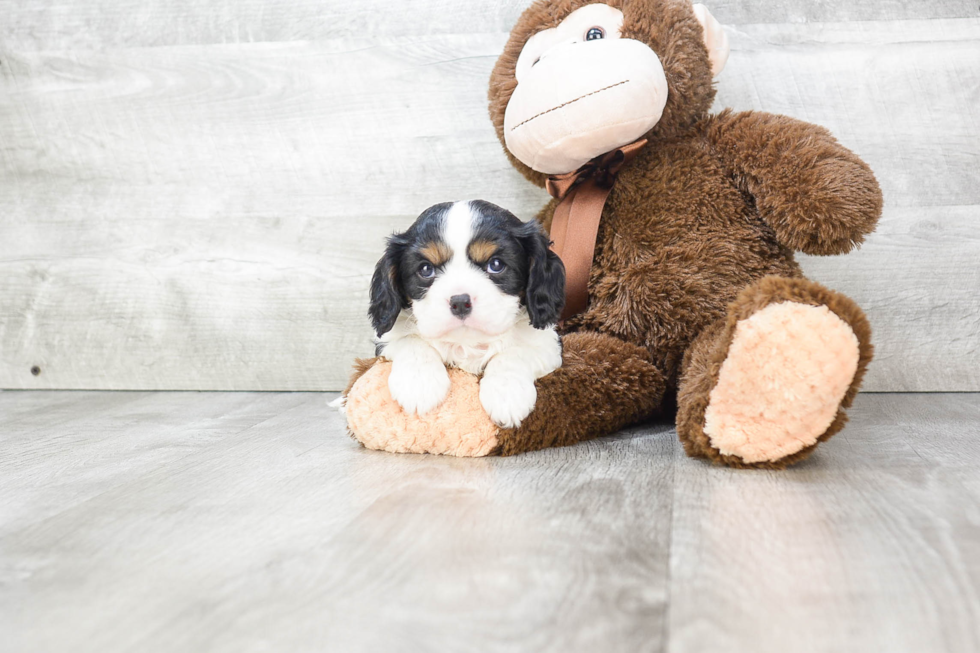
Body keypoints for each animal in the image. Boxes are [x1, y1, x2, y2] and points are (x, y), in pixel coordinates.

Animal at [368, 199, 568, 428]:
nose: (460, 302)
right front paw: (419, 384)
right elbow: (411, 342)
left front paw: (507, 394)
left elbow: (514, 353)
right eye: (426, 269)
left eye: (496, 264)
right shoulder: (386, 340)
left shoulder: (548, 344)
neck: (466, 342)